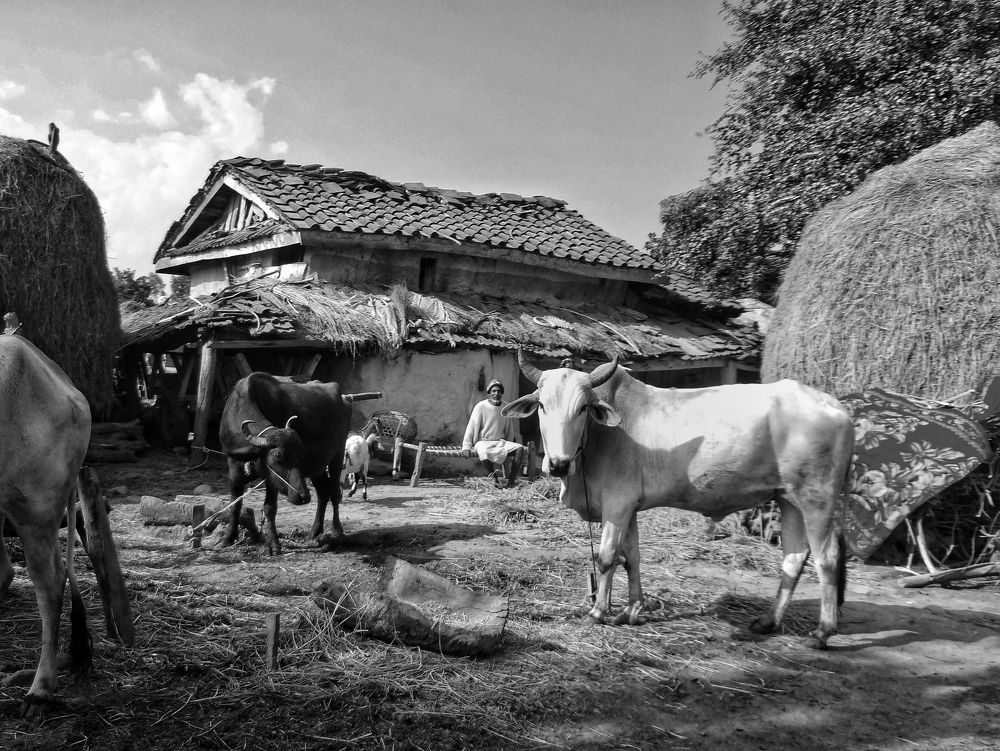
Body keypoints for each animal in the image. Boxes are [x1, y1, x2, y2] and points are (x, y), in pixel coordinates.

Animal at [218, 372, 381, 555]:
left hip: (338, 455)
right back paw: (314, 531)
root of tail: (344, 397)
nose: (303, 496)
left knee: (334, 492)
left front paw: (274, 544)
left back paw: (336, 530)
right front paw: (227, 538)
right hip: (318, 467)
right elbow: (234, 505)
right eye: (277, 455)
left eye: (301, 454)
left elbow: (270, 508)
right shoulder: (234, 468)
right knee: (323, 492)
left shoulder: (272, 480)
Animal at [502, 351, 855, 650]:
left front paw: (597, 612)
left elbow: (606, 559)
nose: (558, 463)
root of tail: (836, 406)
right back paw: (768, 621)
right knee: (794, 558)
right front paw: (631, 610)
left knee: (827, 559)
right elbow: (631, 558)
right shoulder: (629, 507)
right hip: (789, 500)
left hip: (817, 500)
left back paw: (822, 632)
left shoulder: (617, 504)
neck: (598, 438)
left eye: (582, 408)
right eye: (542, 406)